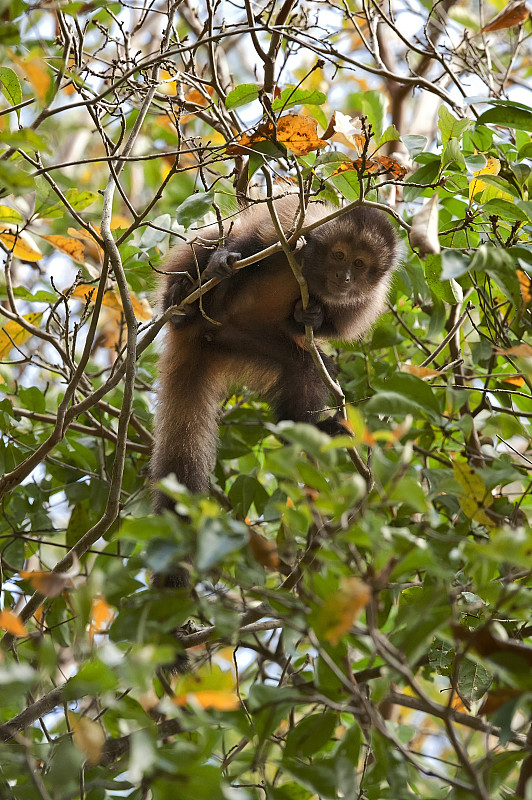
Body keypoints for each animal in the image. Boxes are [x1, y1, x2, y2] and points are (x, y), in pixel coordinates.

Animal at [152, 195, 396, 520]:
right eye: (339, 255)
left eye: (359, 264)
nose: (344, 277)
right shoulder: (295, 227)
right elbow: (250, 240)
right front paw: (222, 259)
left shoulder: (367, 299)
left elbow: (332, 326)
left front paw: (312, 317)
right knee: (208, 244)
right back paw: (182, 301)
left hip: (238, 341)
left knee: (305, 368)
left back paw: (305, 429)